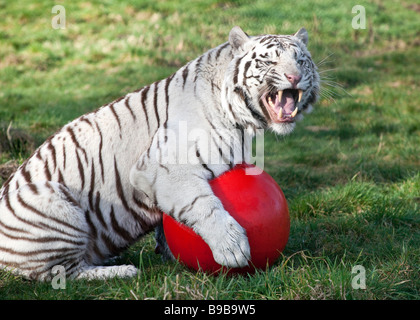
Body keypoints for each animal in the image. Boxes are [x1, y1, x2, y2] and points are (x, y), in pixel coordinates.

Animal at [0, 26, 318, 280]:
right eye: (269, 60)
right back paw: (121, 271)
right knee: (60, 273)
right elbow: (203, 204)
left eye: (300, 60)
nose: (294, 76)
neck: (241, 121)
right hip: (57, 207)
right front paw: (232, 247)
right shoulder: (161, 169)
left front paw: (166, 251)